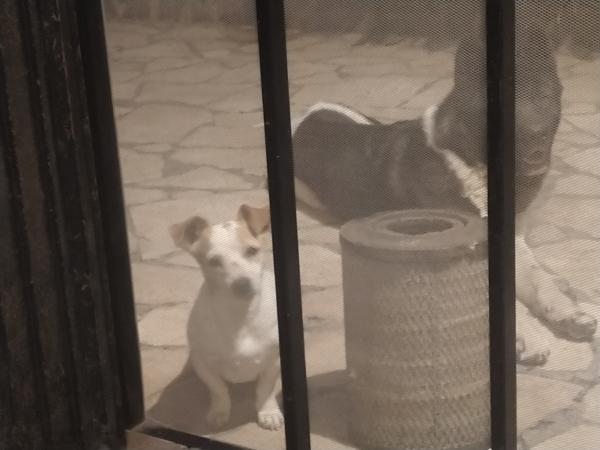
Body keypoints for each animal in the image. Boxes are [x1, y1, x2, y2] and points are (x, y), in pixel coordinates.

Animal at [169, 204, 283, 431]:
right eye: (214, 261)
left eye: (252, 251)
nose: (242, 283)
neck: (240, 315)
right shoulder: (203, 364)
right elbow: (218, 389)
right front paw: (219, 411)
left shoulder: (273, 361)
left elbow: (265, 389)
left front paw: (268, 412)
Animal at [292, 26, 597, 364]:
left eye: (543, 96)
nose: (538, 142)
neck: (470, 158)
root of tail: (307, 114)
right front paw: (527, 337)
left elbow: (539, 279)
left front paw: (568, 314)